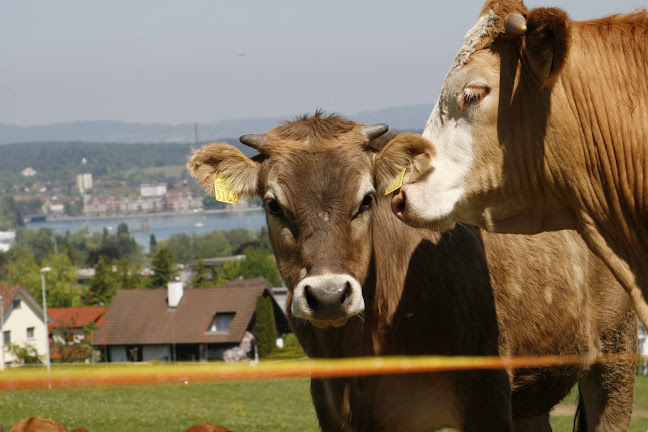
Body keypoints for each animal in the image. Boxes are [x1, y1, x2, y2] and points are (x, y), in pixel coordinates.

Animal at [187, 113, 636, 430]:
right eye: (273, 204)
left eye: (367, 199)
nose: (329, 296)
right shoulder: (334, 407)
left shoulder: (486, 396)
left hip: (616, 360)